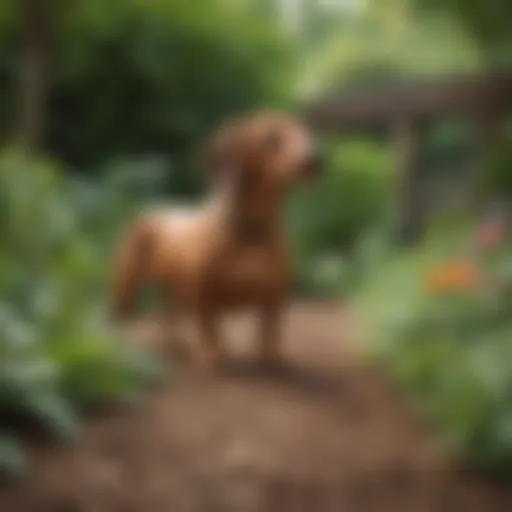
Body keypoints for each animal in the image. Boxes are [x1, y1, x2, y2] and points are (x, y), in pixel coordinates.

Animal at [109, 112, 322, 368]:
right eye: (271, 138)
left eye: (306, 132)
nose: (316, 160)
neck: (250, 235)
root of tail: (151, 208)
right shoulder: (203, 294)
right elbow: (209, 329)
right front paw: (211, 356)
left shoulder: (275, 297)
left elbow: (270, 333)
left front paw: (271, 358)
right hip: (127, 283)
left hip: (172, 291)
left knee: (166, 315)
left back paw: (171, 343)